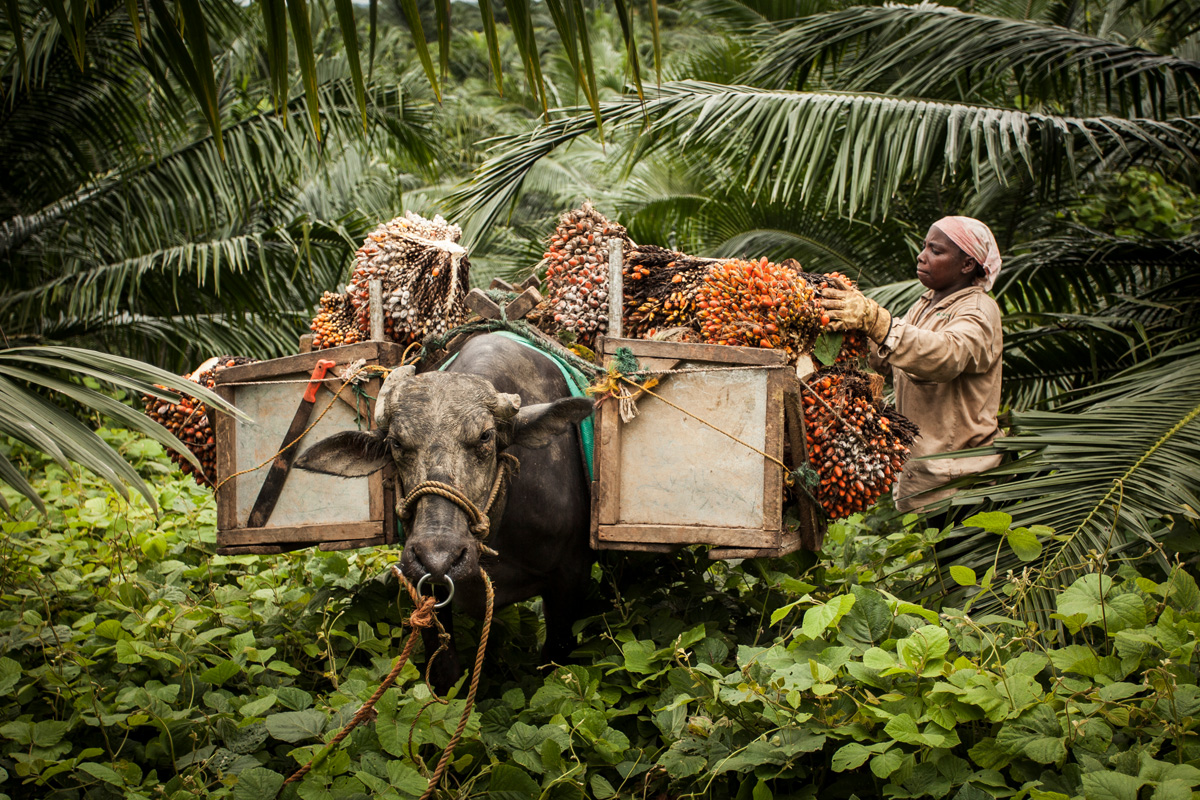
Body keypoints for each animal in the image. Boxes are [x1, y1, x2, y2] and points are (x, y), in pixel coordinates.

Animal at [295, 335, 595, 690]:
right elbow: (444, 671)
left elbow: (555, 662)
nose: (438, 559)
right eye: (397, 443)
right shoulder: (424, 584)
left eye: (486, 436)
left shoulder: (571, 579)